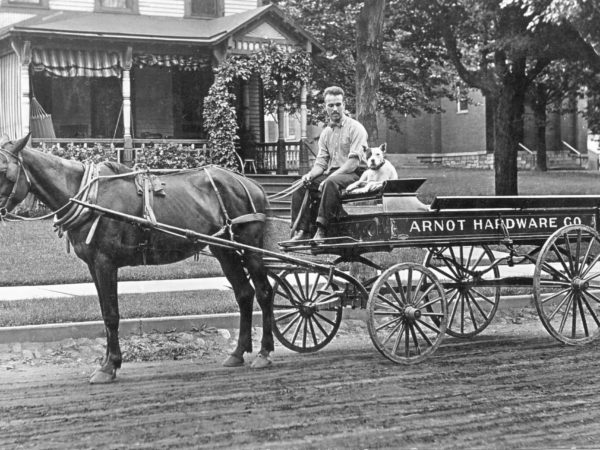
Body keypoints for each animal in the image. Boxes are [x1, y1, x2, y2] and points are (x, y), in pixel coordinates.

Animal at [0, 134, 276, 384]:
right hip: (225, 249)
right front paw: (108, 362)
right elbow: (105, 313)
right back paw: (238, 353)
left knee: (264, 292)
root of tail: (250, 184)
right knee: (244, 293)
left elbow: (111, 315)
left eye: (4, 171)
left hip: (249, 246)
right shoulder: (94, 265)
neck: (88, 196)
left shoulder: (105, 262)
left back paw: (264, 352)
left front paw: (109, 366)